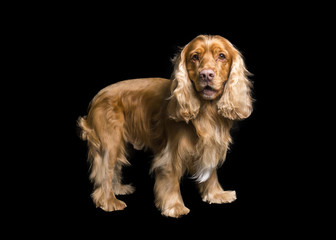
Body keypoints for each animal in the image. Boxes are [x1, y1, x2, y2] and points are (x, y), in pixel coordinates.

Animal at [78, 35, 252, 218]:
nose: (206, 74)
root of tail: (95, 99)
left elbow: (211, 173)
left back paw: (118, 189)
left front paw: (216, 194)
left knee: (115, 166)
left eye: (222, 56)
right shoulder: (171, 152)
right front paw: (174, 206)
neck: (206, 110)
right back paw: (108, 200)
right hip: (110, 141)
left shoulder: (212, 144)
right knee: (105, 170)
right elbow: (171, 179)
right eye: (195, 57)